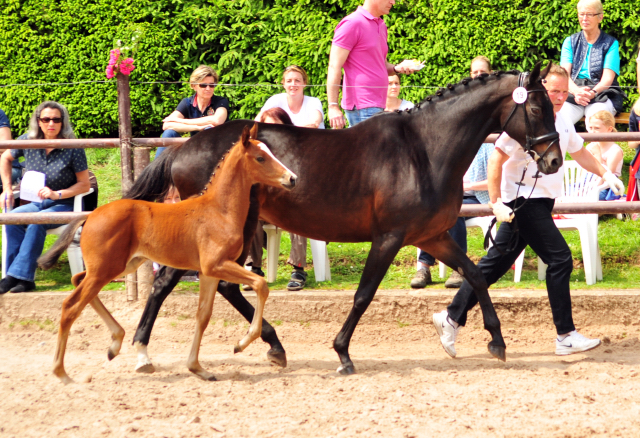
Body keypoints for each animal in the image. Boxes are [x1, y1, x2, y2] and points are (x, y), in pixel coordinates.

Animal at [38, 124, 298, 384]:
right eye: (260, 157)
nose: (292, 178)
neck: (219, 210)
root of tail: (90, 215)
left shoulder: (209, 273)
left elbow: (203, 315)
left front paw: (197, 368)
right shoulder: (217, 265)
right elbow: (260, 285)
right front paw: (241, 343)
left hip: (121, 266)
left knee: (77, 279)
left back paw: (115, 343)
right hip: (105, 269)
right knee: (70, 306)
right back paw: (62, 373)